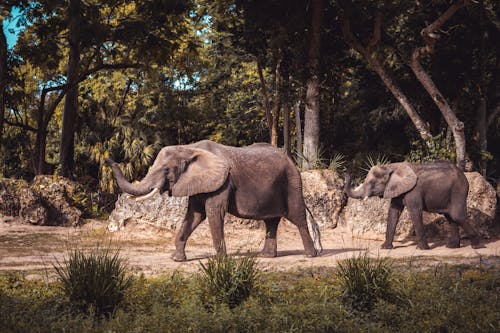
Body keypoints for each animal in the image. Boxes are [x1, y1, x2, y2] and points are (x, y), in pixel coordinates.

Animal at [107, 139, 322, 260]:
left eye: (166, 170)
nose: (107, 159)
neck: (189, 148)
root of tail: (291, 160)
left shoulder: (222, 181)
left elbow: (213, 212)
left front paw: (221, 261)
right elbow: (194, 215)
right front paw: (177, 259)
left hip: (292, 181)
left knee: (297, 216)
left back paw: (310, 255)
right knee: (271, 221)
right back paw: (266, 257)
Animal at [344, 160, 480, 249]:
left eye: (373, 183)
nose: (346, 172)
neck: (391, 166)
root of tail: (463, 175)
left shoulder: (414, 190)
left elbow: (415, 212)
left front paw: (422, 249)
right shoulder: (397, 190)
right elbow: (393, 212)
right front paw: (385, 247)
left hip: (458, 190)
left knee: (457, 216)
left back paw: (476, 245)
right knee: (450, 217)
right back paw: (451, 246)